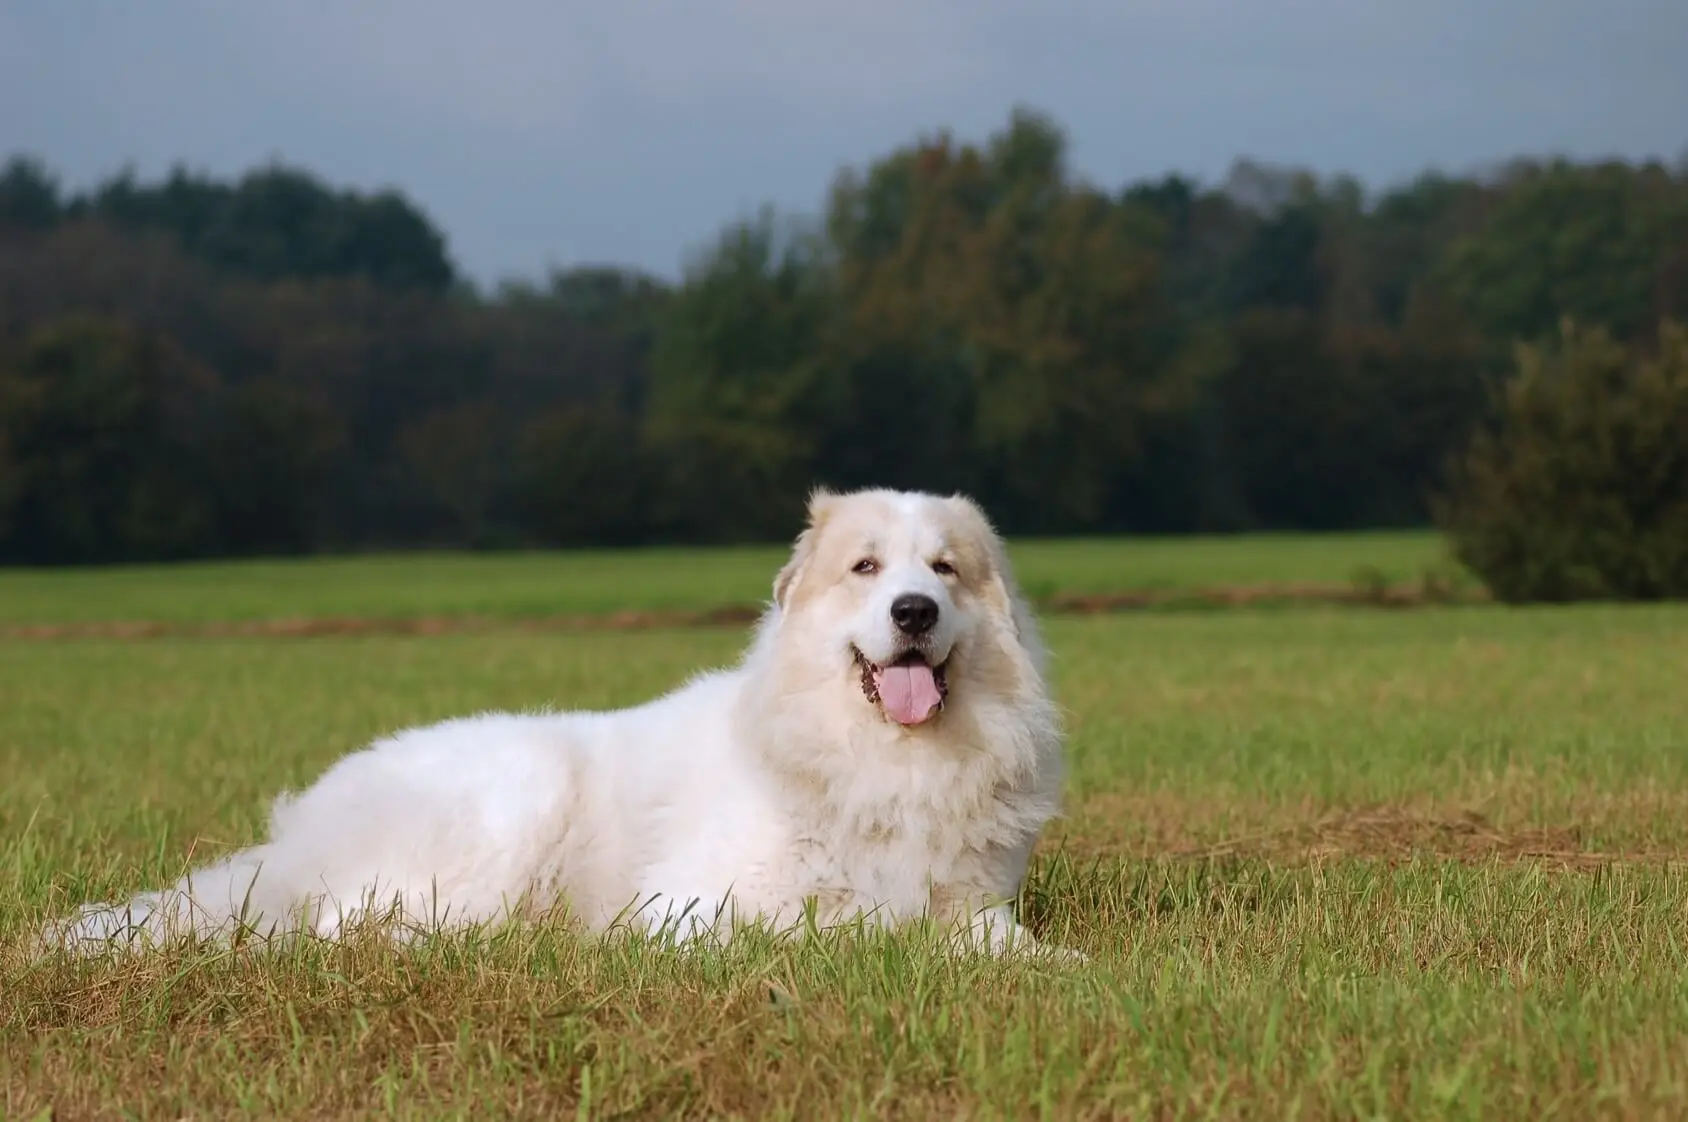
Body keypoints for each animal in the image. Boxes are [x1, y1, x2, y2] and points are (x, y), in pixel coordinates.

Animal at [46, 489, 1066, 951]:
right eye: (866, 569)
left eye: (944, 570)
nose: (914, 613)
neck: (877, 758)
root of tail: (297, 832)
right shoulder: (696, 908)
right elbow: (840, 925)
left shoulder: (974, 898)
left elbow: (1007, 943)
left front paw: (1051, 968)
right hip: (516, 796)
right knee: (337, 929)